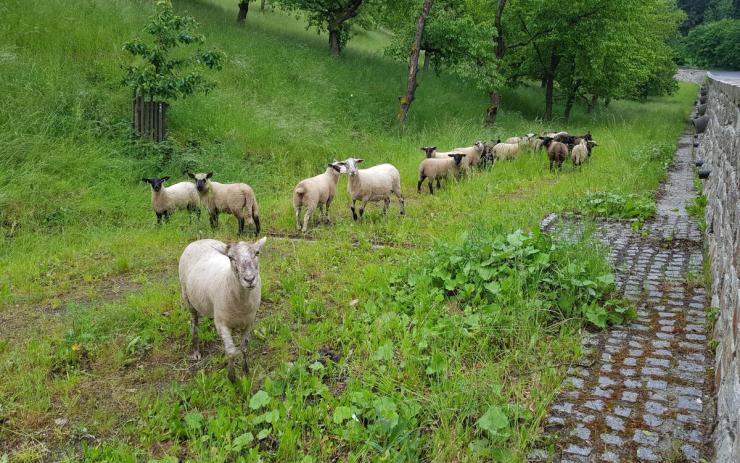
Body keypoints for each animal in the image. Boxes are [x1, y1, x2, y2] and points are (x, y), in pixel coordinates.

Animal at [178, 237, 266, 382]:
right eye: (230, 257)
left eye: (257, 253)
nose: (249, 279)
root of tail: (200, 240)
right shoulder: (222, 324)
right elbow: (231, 351)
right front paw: (232, 378)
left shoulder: (249, 322)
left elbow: (244, 348)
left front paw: (246, 372)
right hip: (186, 296)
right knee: (194, 322)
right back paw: (196, 350)